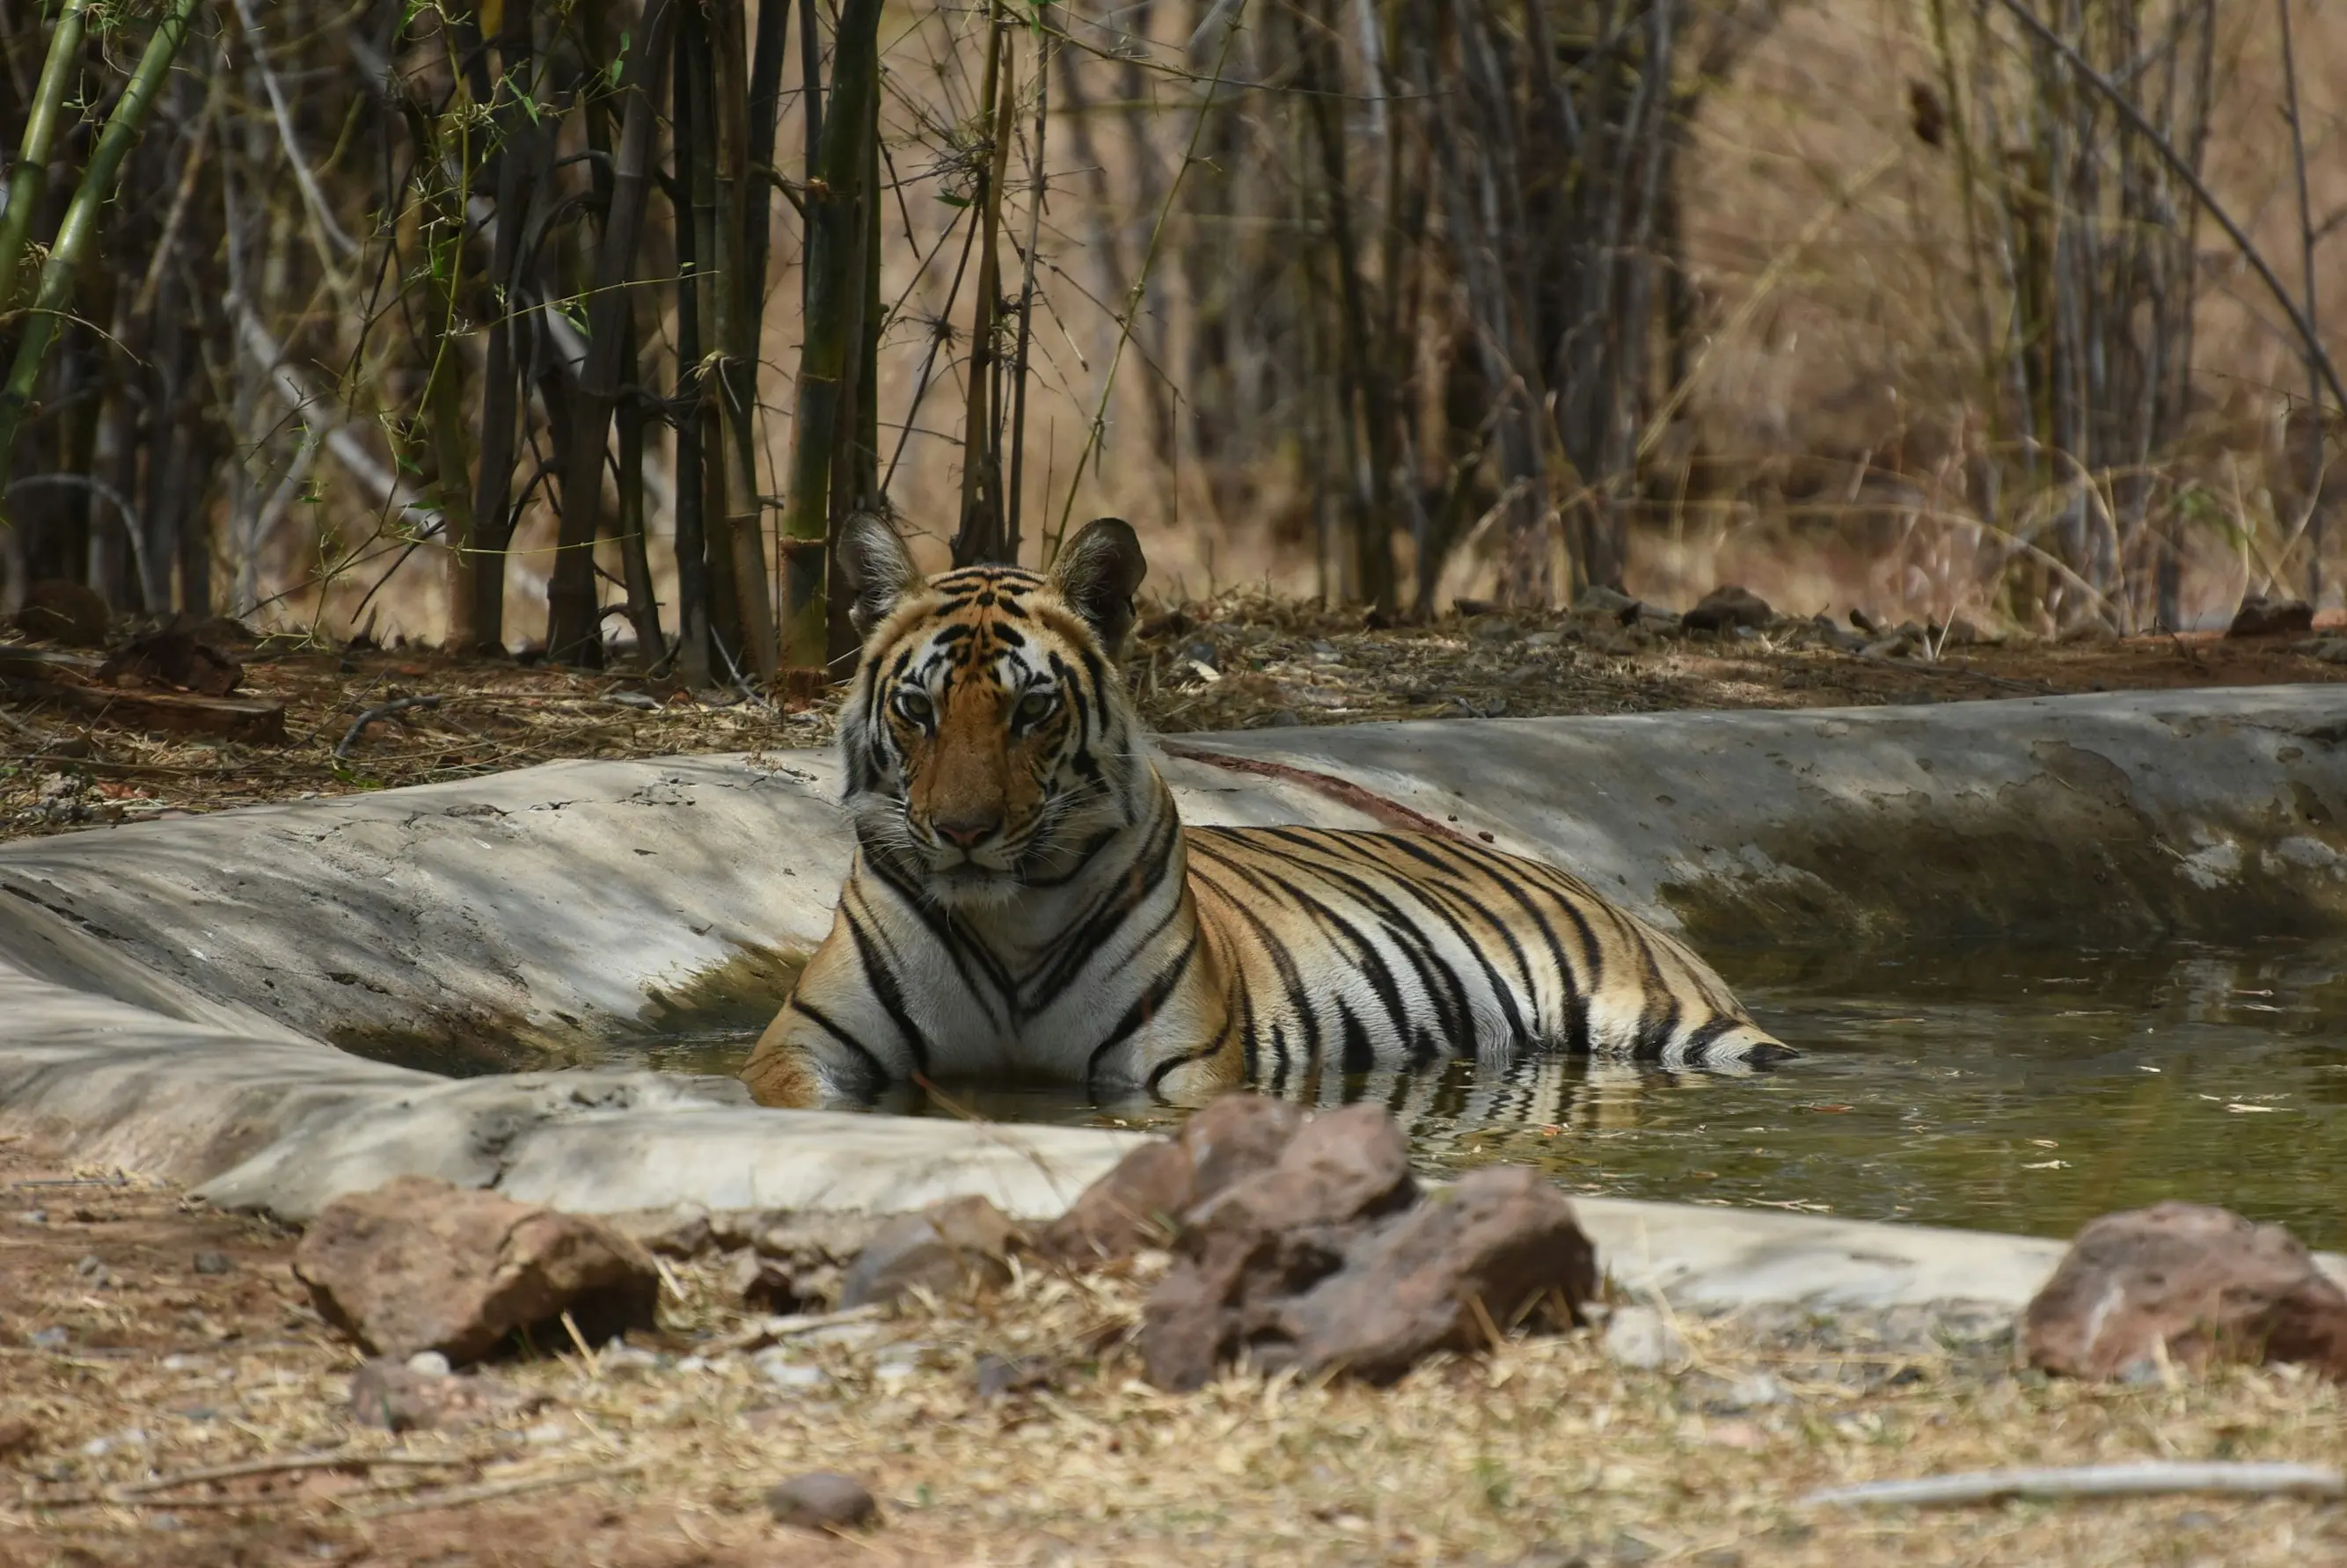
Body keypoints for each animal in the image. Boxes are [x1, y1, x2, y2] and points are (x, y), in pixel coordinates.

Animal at [737, 514, 1790, 1110]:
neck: (1007, 920)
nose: (963, 834)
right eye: (917, 710)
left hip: (1685, 1023)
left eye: (1031, 711)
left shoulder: (1178, 1067)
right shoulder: (803, 1047)